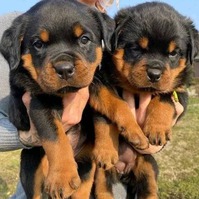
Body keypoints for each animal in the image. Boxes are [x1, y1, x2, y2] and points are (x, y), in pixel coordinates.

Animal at [0, 0, 115, 198]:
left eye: (84, 39)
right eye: (38, 44)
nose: (64, 69)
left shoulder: (91, 93)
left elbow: (102, 117)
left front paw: (106, 149)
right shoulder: (39, 103)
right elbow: (55, 136)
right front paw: (62, 177)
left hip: (85, 165)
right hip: (31, 162)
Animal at [90, 1, 199, 199]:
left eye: (173, 53)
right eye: (135, 49)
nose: (154, 74)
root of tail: (123, 171)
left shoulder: (180, 93)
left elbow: (164, 99)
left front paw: (157, 128)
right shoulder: (99, 84)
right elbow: (110, 110)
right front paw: (126, 136)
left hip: (148, 163)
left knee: (149, 188)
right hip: (101, 172)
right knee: (102, 187)